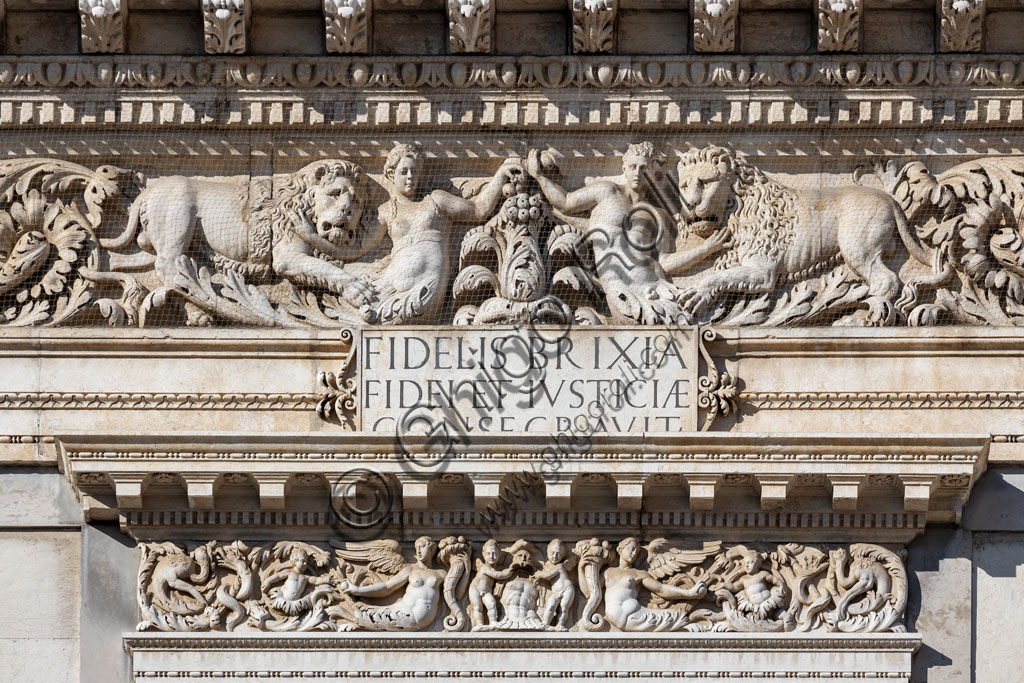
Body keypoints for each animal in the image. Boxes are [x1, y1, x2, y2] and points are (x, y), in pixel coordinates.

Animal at [100, 157, 376, 307]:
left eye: (356, 200)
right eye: (336, 193)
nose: (348, 211)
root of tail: (146, 193)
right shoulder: (287, 251)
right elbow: (326, 269)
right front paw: (356, 290)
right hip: (175, 219)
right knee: (167, 263)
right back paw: (193, 294)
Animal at [675, 145, 933, 325]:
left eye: (706, 182)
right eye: (684, 186)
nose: (690, 205)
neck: (740, 206)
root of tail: (889, 199)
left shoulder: (763, 270)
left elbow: (718, 278)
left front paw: (698, 293)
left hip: (858, 248)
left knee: (885, 279)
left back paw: (859, 314)